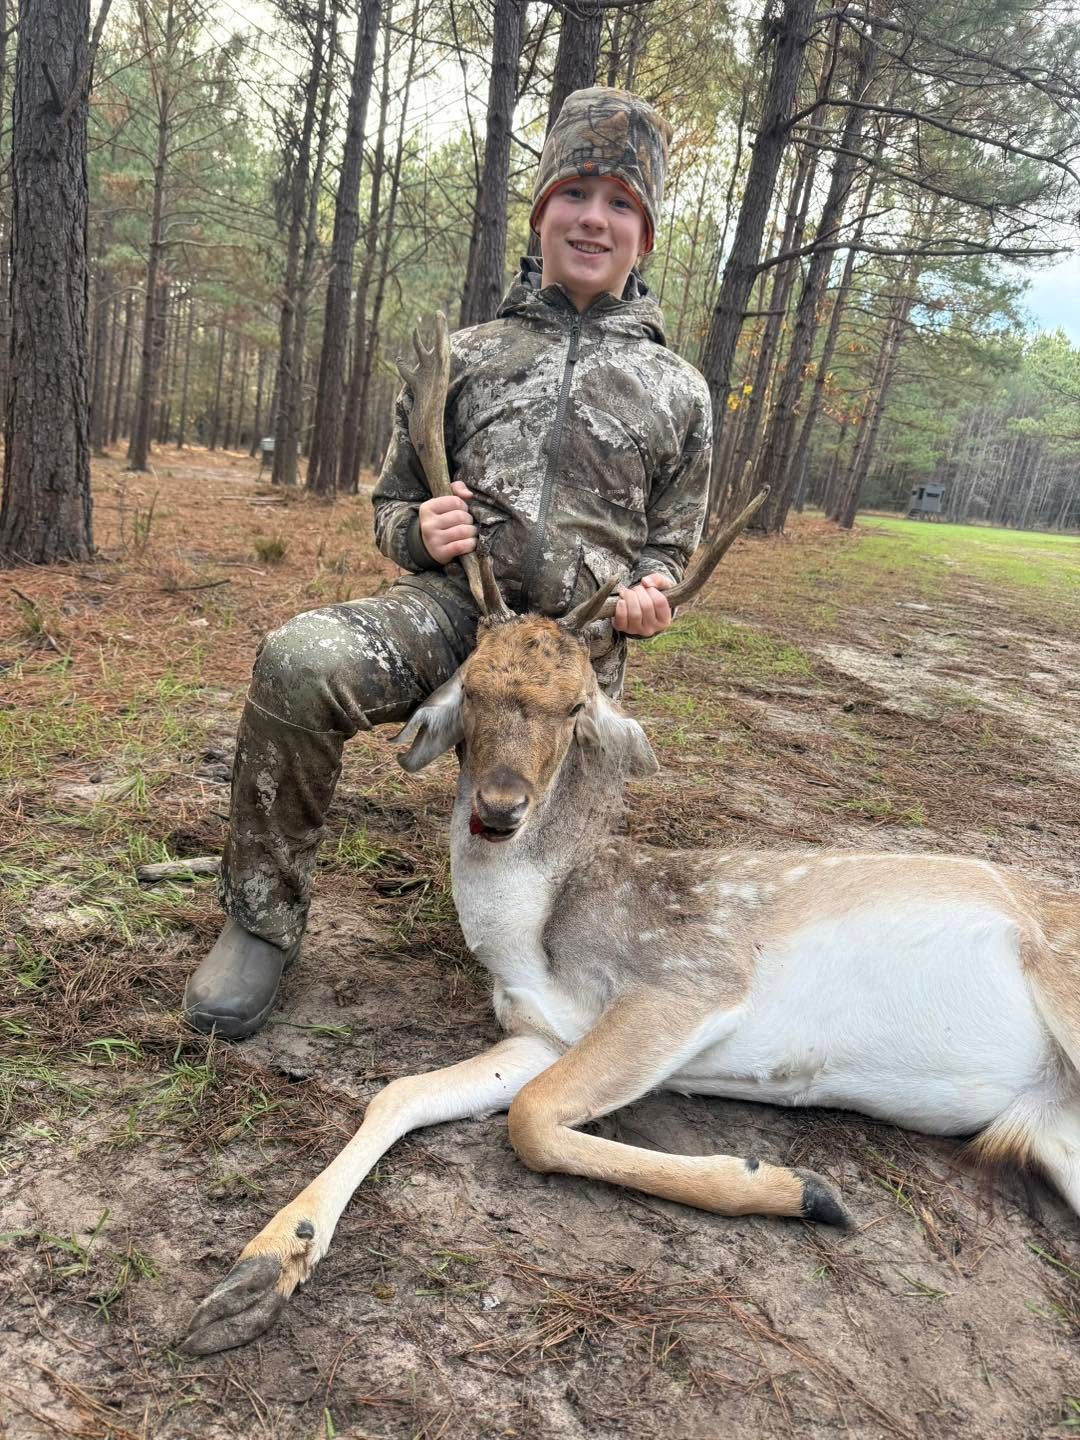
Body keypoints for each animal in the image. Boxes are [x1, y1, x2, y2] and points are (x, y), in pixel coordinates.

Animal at [180, 315, 1080, 1356]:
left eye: (576, 707)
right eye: (472, 689)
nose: (500, 808)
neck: (536, 944)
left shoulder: (686, 981)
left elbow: (531, 1122)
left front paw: (800, 1189)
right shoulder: (543, 1029)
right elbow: (396, 1092)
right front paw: (256, 1272)